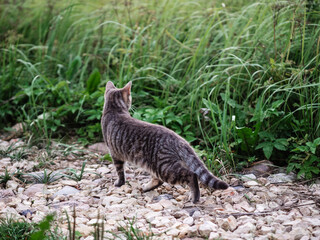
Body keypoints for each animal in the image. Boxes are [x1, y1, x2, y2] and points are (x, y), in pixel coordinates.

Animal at [101, 81, 229, 202]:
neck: (114, 109)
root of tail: (180, 140)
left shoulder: (115, 154)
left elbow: (120, 172)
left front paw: (119, 183)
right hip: (156, 166)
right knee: (159, 180)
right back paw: (146, 188)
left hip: (164, 168)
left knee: (191, 175)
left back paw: (195, 197)